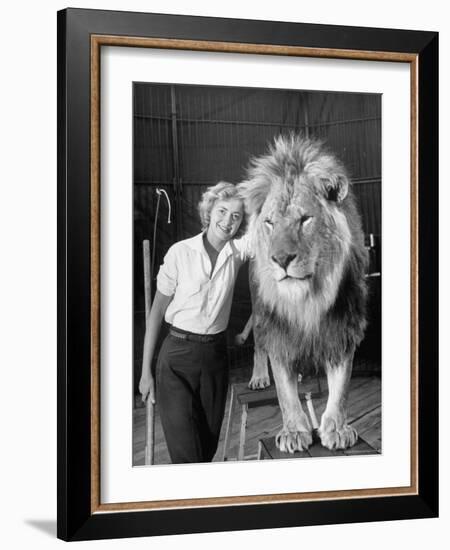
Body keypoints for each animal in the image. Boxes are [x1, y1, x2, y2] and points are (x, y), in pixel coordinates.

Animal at [237, 136, 368, 454]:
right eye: (270, 223)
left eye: (305, 219)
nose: (281, 259)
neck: (307, 300)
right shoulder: (278, 331)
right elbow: (285, 392)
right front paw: (294, 431)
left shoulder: (342, 326)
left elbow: (341, 386)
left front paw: (337, 429)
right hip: (259, 311)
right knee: (260, 346)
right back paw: (259, 377)